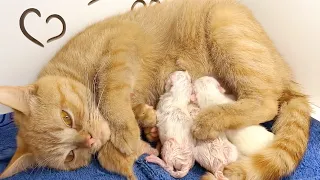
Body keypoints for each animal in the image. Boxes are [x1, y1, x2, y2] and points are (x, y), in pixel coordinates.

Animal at [0, 0, 312, 180]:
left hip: (227, 30)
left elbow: (111, 94)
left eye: (66, 117)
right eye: (70, 156)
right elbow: (130, 110)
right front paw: (144, 124)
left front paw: (125, 132)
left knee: (267, 101)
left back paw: (209, 119)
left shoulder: (121, 47)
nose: (89, 139)